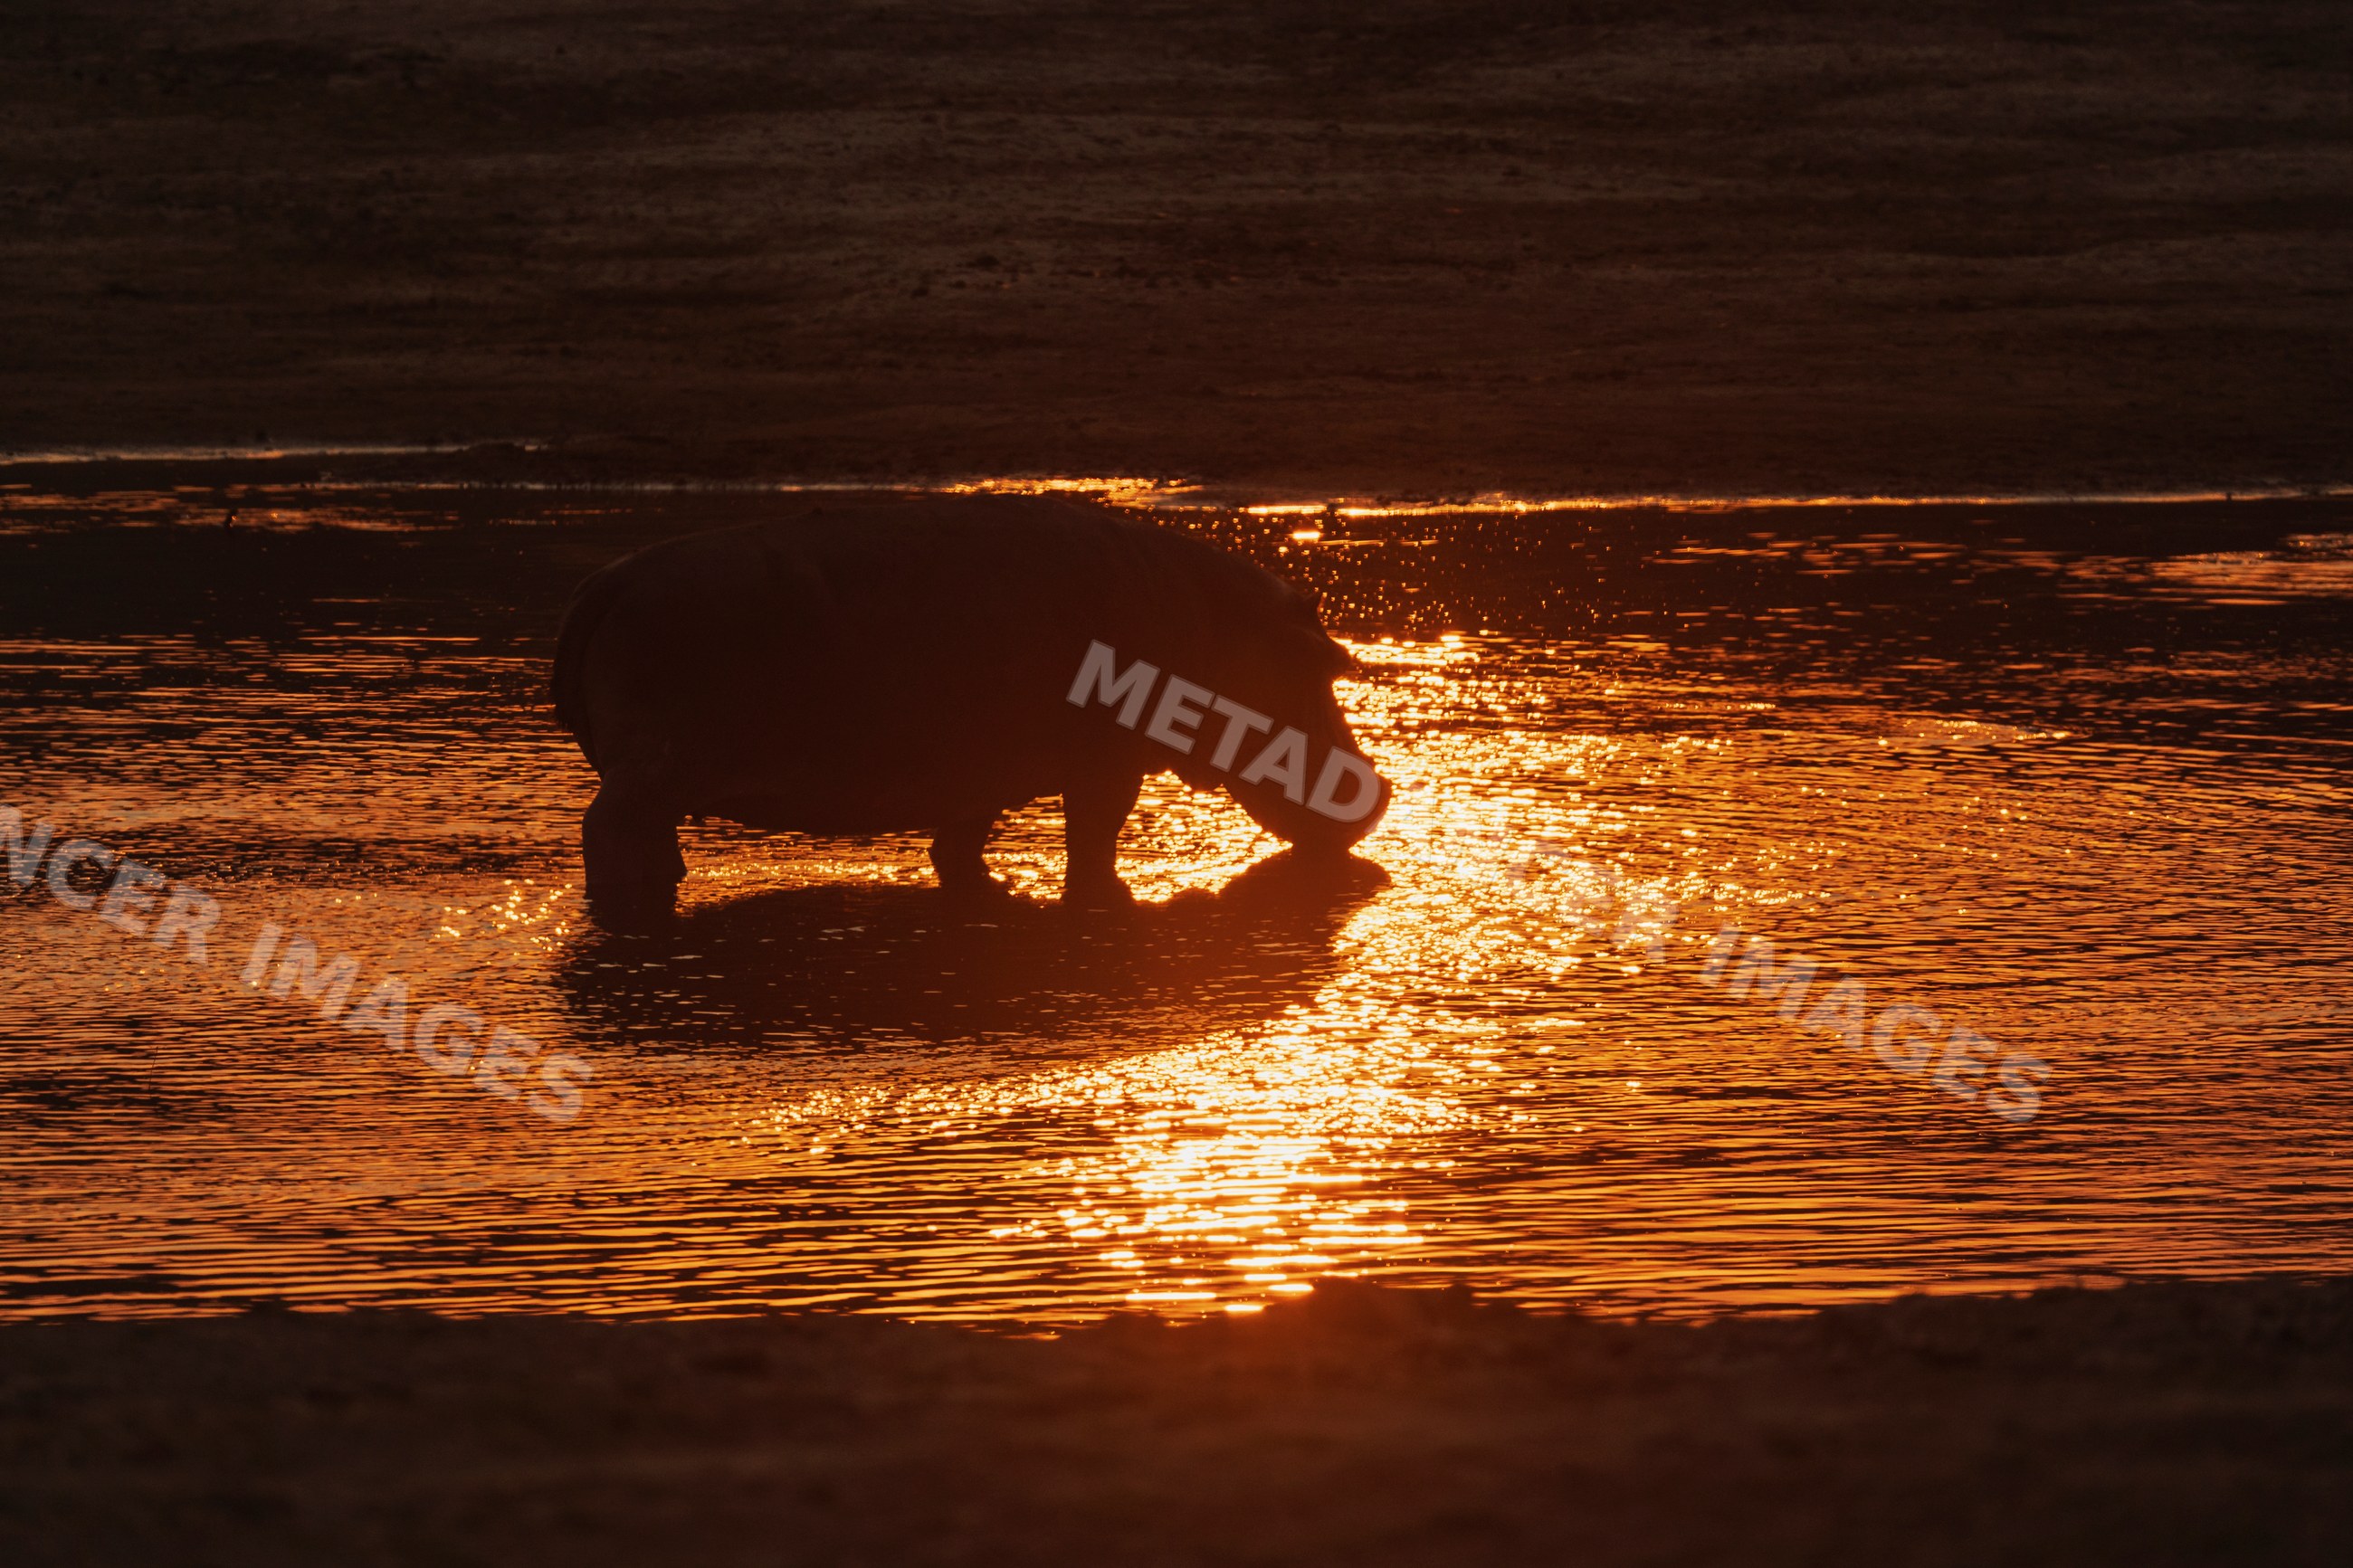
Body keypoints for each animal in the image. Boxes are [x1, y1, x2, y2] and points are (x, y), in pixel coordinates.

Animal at [552, 495, 1390, 925]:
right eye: (1327, 666)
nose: (1379, 792)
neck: (1225, 626)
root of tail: (608, 581)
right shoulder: (1107, 764)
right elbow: (1095, 839)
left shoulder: (976, 776)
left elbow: (960, 845)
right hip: (649, 770)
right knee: (605, 830)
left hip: (657, 777)